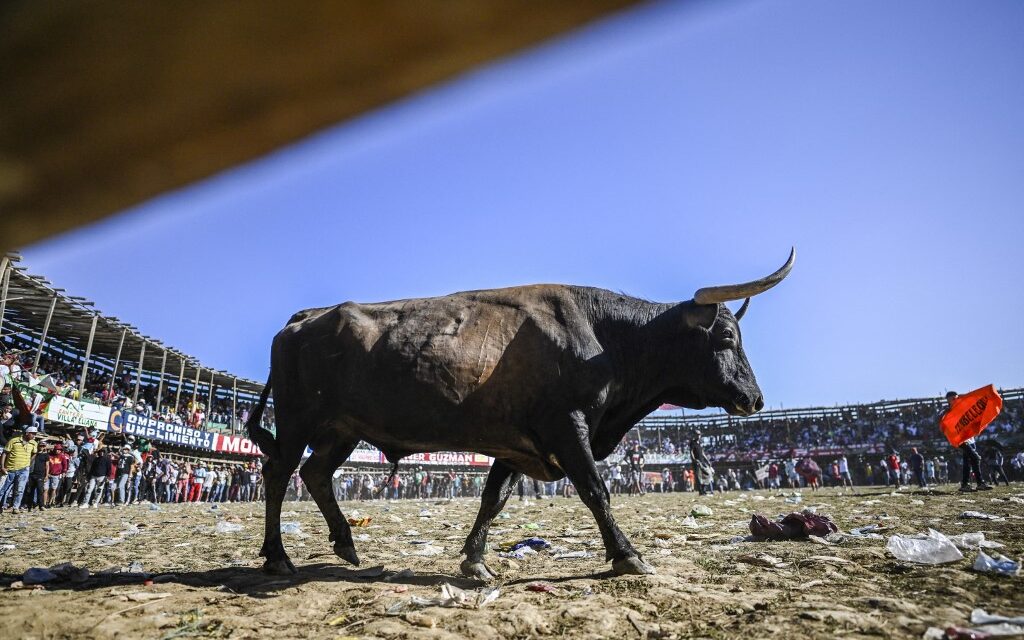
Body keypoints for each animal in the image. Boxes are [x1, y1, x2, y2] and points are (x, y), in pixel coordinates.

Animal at [245, 248, 790, 573]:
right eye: (726, 336)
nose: (755, 399)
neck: (604, 337)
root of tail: (307, 317)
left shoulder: (514, 443)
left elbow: (494, 499)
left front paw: (474, 560)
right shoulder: (566, 426)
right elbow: (595, 490)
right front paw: (627, 555)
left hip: (340, 429)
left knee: (314, 475)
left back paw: (345, 543)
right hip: (297, 421)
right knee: (278, 474)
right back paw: (277, 558)